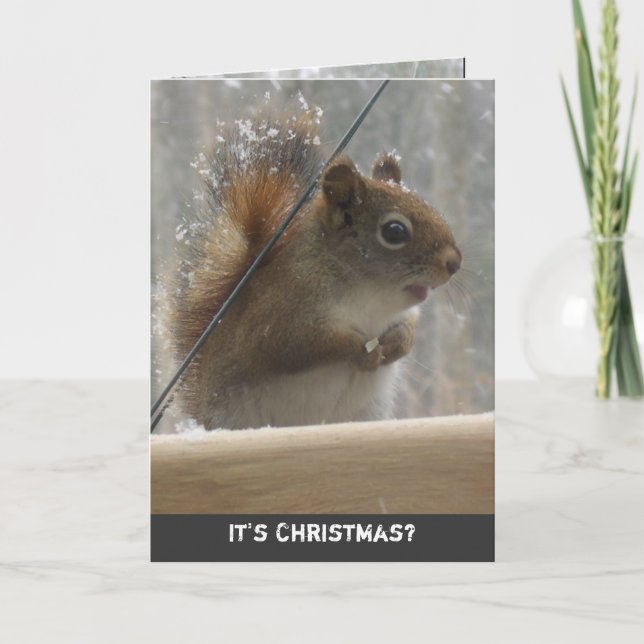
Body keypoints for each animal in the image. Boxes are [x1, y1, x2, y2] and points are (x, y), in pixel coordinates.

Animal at [161, 102, 461, 430]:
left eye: (429, 206)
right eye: (394, 231)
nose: (454, 262)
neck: (371, 296)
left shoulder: (403, 313)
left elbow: (408, 328)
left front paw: (397, 343)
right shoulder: (280, 313)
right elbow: (294, 345)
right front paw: (362, 352)